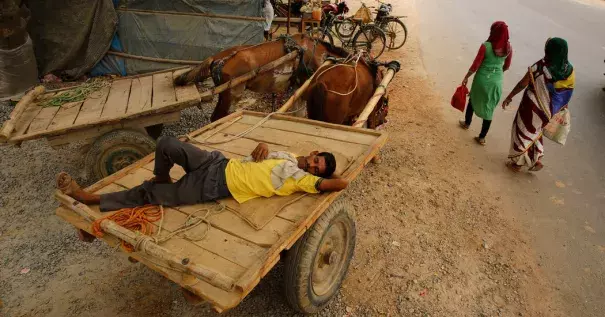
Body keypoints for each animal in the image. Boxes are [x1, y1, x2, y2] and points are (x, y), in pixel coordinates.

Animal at [172, 34, 346, 121]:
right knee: (217, 117)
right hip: (232, 94)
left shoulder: (299, 88)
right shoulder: (305, 85)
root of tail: (217, 58)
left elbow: (299, 114)